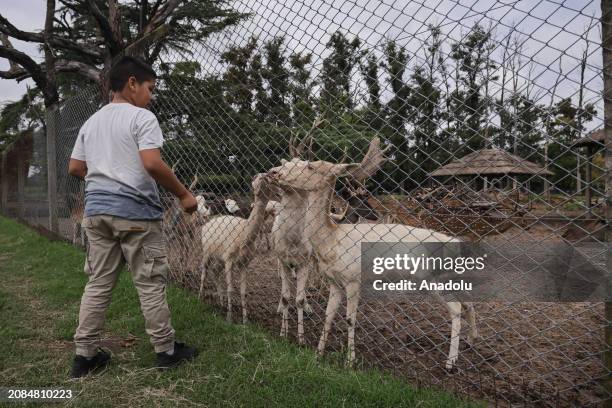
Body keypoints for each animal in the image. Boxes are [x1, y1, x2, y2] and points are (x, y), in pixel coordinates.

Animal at [268, 138, 478, 370]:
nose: (274, 172)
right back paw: (472, 340)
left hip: (433, 279)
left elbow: (350, 319)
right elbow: (328, 315)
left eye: (309, 166)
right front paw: (318, 353)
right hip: (450, 277)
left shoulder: (353, 279)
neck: (332, 240)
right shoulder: (334, 281)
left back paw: (451, 362)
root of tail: (457, 244)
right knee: (468, 302)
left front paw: (350, 361)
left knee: (456, 308)